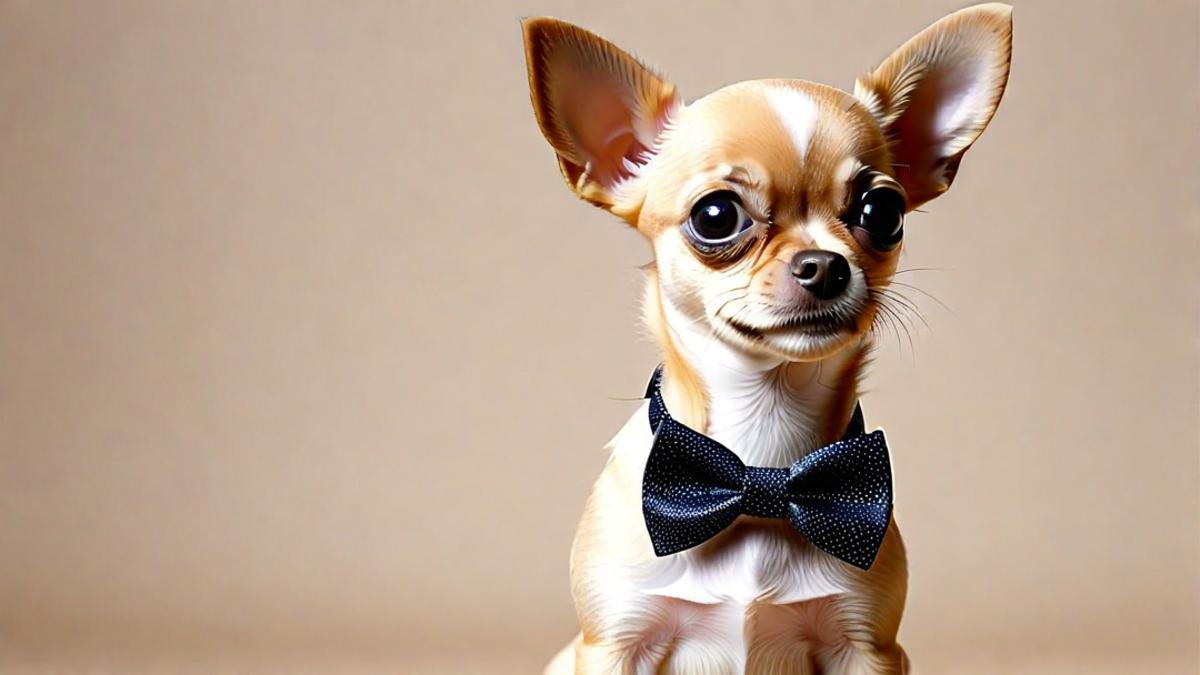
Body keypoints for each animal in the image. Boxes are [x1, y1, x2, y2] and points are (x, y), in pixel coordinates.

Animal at [523, 6, 1012, 672]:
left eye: (883, 212)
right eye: (716, 216)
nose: (825, 265)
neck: (762, 470)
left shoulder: (867, 646)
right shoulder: (614, 645)